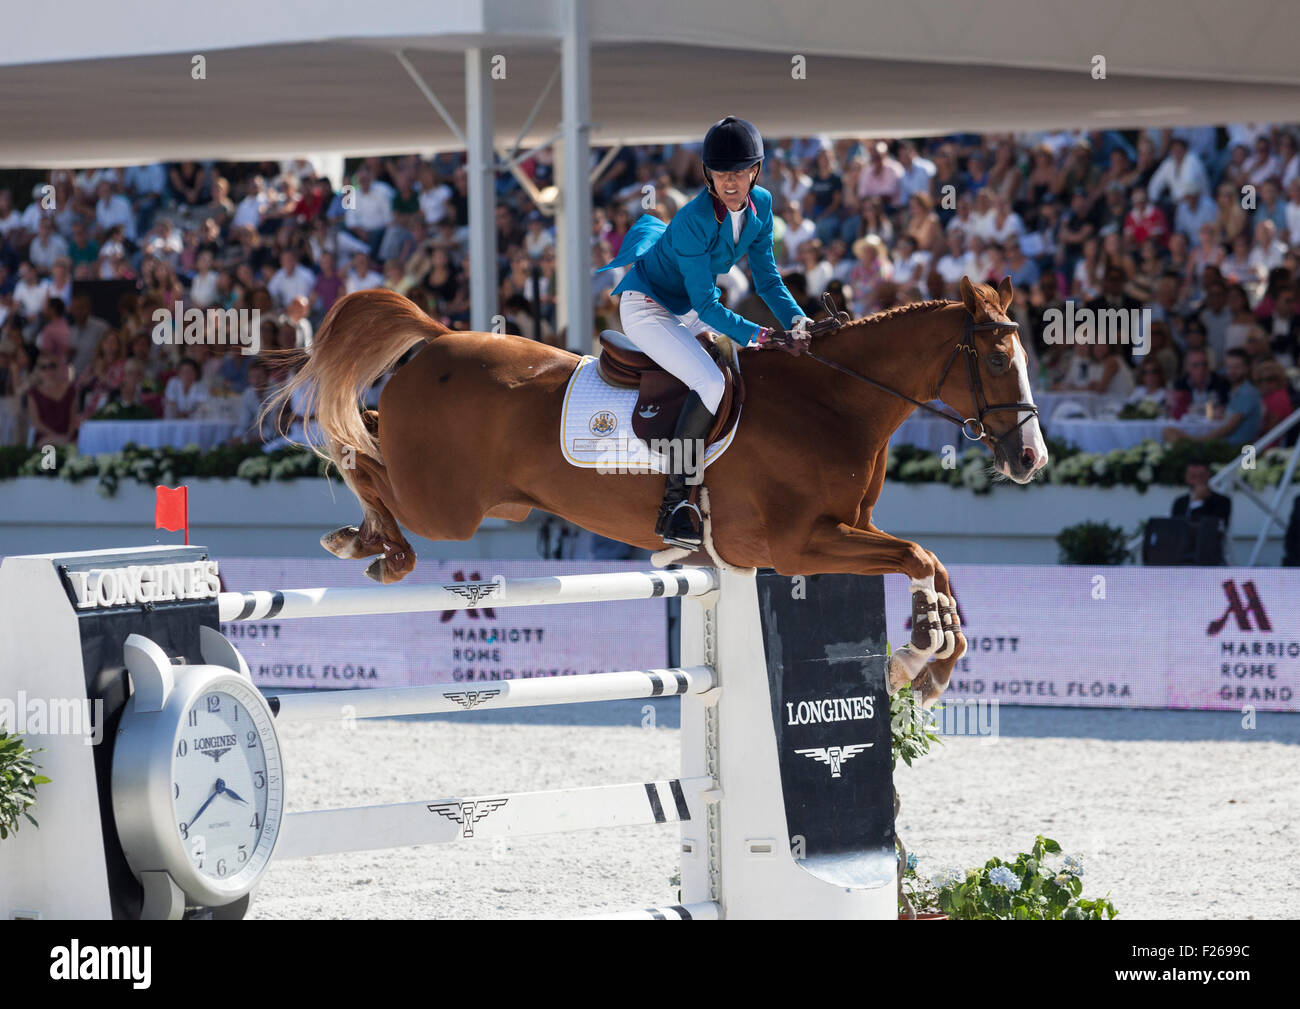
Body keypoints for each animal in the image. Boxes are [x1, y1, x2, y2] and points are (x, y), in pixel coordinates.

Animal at [271, 275, 1045, 702]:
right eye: (996, 360)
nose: (1031, 458)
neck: (832, 402)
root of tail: (435, 337)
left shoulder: (846, 530)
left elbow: (933, 564)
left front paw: (933, 662)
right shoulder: (799, 545)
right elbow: (919, 556)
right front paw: (916, 656)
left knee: (362, 436)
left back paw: (365, 537)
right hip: (446, 506)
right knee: (356, 449)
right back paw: (370, 544)